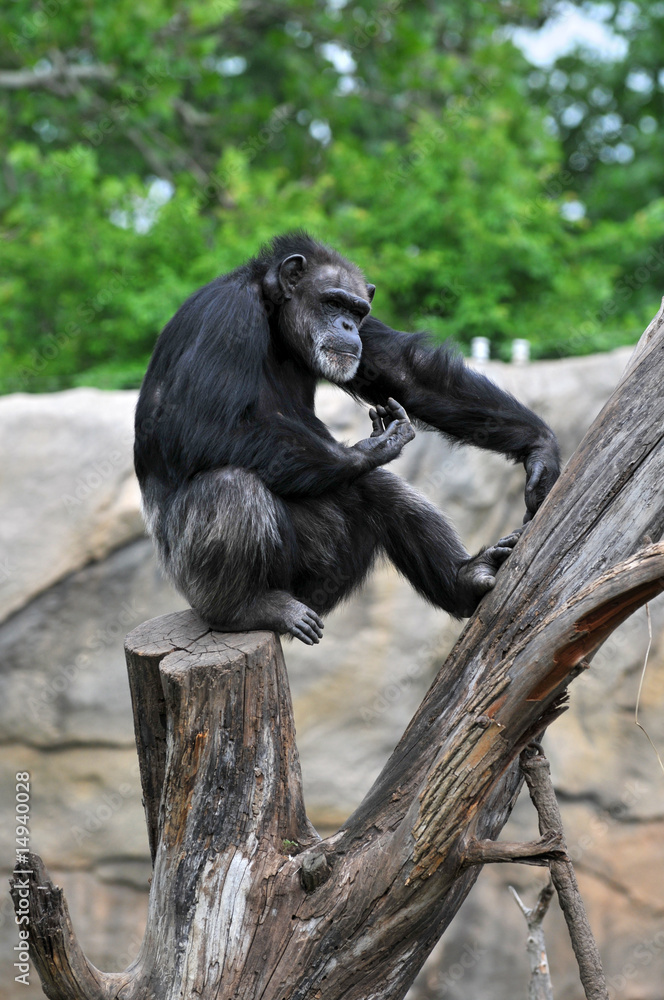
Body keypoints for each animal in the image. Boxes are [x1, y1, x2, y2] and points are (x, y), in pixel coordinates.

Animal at [136, 231, 560, 644]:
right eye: (332, 302)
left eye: (357, 311)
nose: (347, 327)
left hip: (322, 576)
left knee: (382, 493)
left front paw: (541, 451)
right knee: (230, 484)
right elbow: (198, 425)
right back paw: (247, 608)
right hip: (192, 576)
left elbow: (408, 375)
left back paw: (466, 579)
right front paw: (368, 450)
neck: (276, 321)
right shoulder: (227, 316)